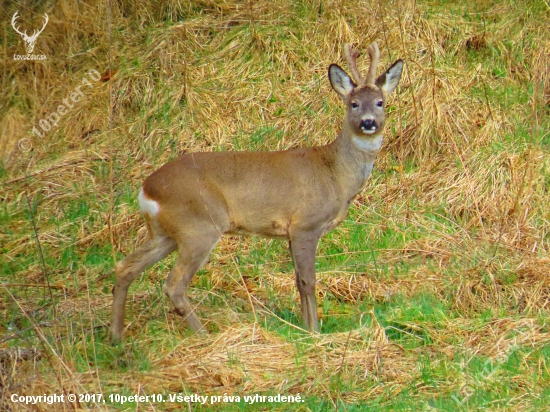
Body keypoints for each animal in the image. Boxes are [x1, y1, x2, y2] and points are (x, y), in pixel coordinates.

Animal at [110, 42, 406, 344]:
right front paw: (314, 332)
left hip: (166, 233)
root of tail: (146, 190)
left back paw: (116, 337)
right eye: (353, 104)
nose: (369, 123)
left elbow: (297, 280)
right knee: (174, 283)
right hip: (199, 226)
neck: (335, 173)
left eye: (380, 102)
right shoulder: (306, 224)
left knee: (125, 267)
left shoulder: (290, 232)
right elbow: (308, 280)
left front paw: (303, 327)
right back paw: (205, 335)